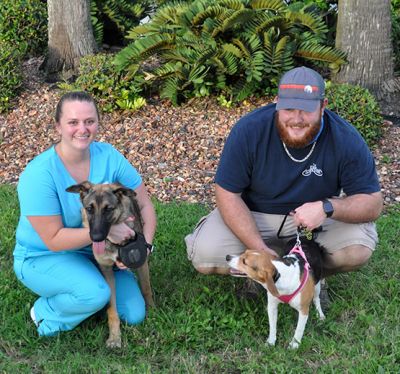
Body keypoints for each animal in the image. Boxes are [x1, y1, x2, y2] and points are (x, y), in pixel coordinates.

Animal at [66, 181, 154, 348]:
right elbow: (112, 310)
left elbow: (146, 289)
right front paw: (114, 337)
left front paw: (153, 313)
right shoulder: (106, 270)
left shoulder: (142, 261)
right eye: (89, 208)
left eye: (109, 209)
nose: (96, 237)